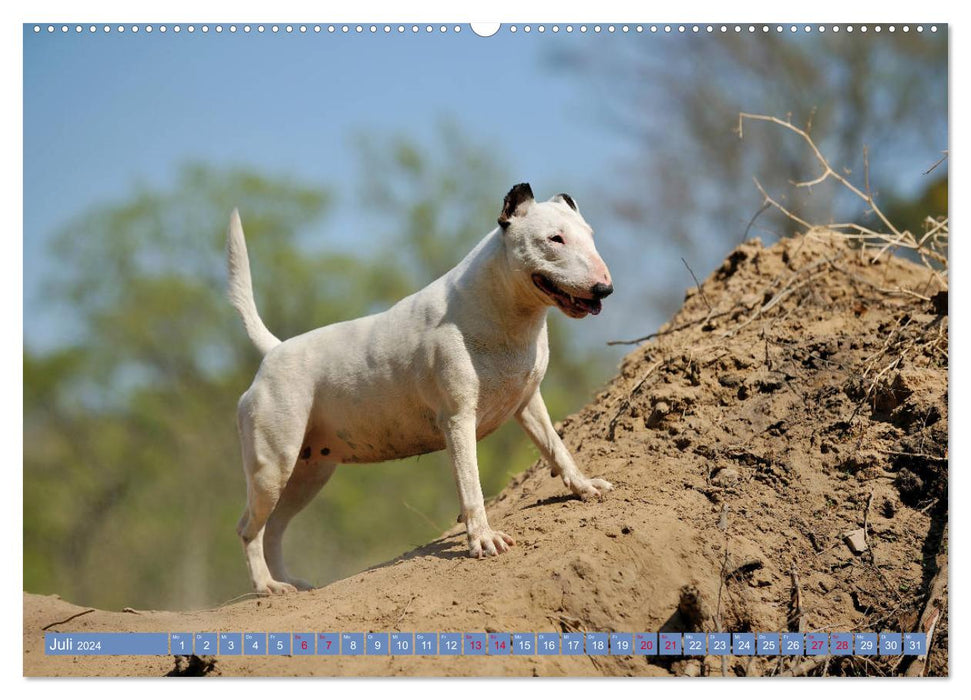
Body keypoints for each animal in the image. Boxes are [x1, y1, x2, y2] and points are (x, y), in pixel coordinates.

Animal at [228, 183, 616, 592]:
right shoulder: (458, 421)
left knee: (273, 528)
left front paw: (584, 487)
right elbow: (471, 485)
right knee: (249, 529)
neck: (505, 311)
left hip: (307, 474)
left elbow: (558, 449)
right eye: (554, 239)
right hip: (272, 468)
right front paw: (483, 539)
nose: (604, 288)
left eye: (589, 235)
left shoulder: (528, 404)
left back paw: (287, 583)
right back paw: (265, 586)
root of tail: (274, 351)